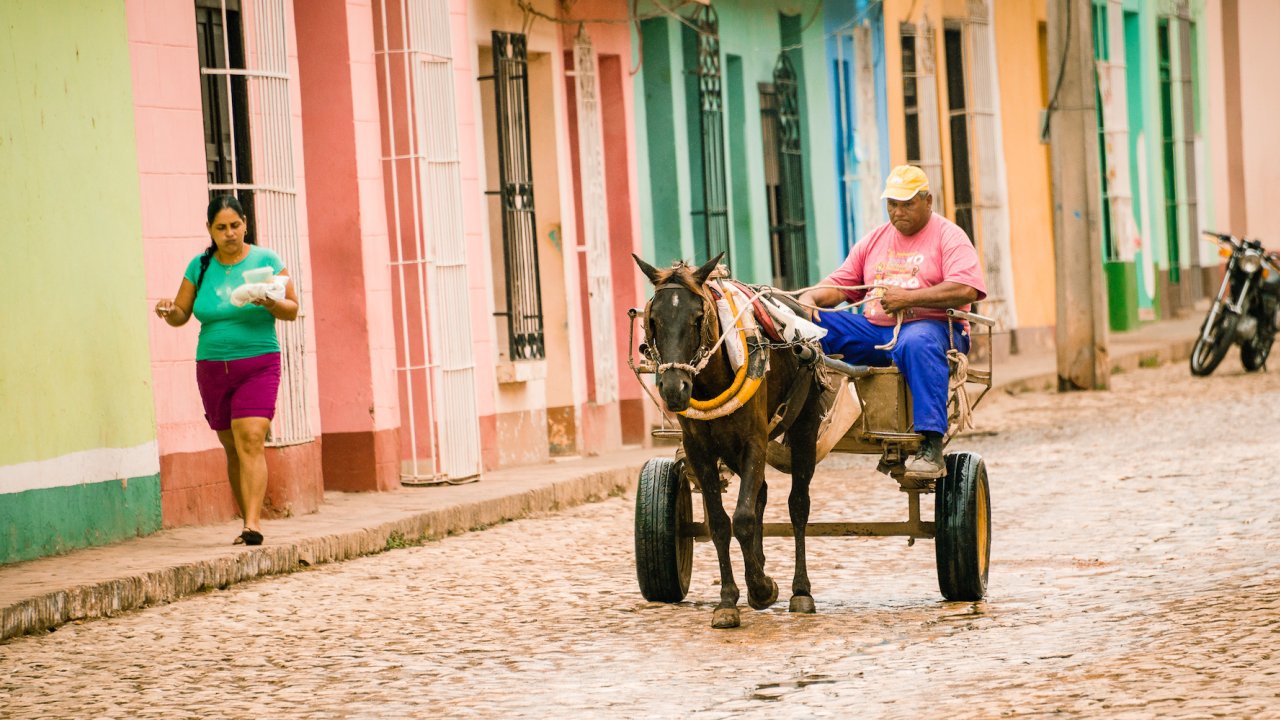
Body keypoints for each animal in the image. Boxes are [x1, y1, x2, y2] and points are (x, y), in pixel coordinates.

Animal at [634, 252, 825, 629]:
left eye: (698, 317)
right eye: (653, 319)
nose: (674, 389)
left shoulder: (755, 441)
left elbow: (744, 518)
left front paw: (763, 589)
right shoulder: (700, 451)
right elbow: (721, 523)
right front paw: (729, 600)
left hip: (804, 427)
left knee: (798, 504)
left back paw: (800, 591)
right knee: (761, 494)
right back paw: (760, 567)